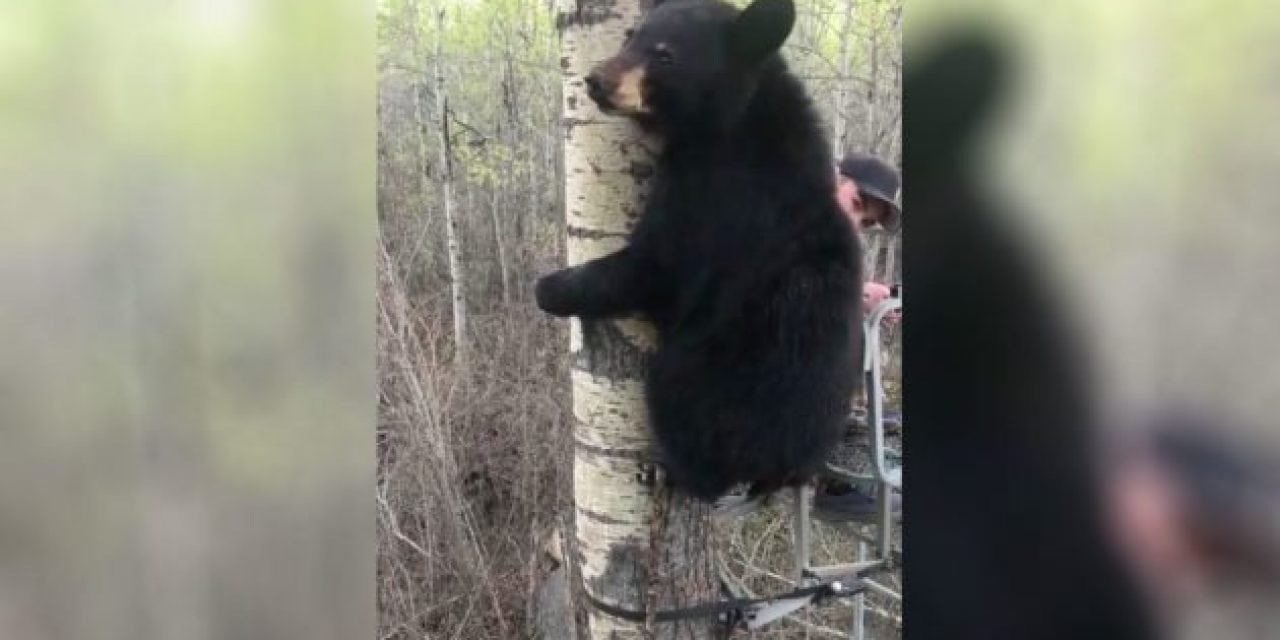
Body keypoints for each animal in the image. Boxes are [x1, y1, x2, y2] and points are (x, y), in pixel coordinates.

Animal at [532, 0, 860, 501]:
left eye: (665, 54)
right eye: (631, 36)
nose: (596, 80)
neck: (733, 120)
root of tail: (784, 469)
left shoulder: (717, 201)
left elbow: (655, 265)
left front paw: (550, 287)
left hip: (704, 374)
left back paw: (667, 470)